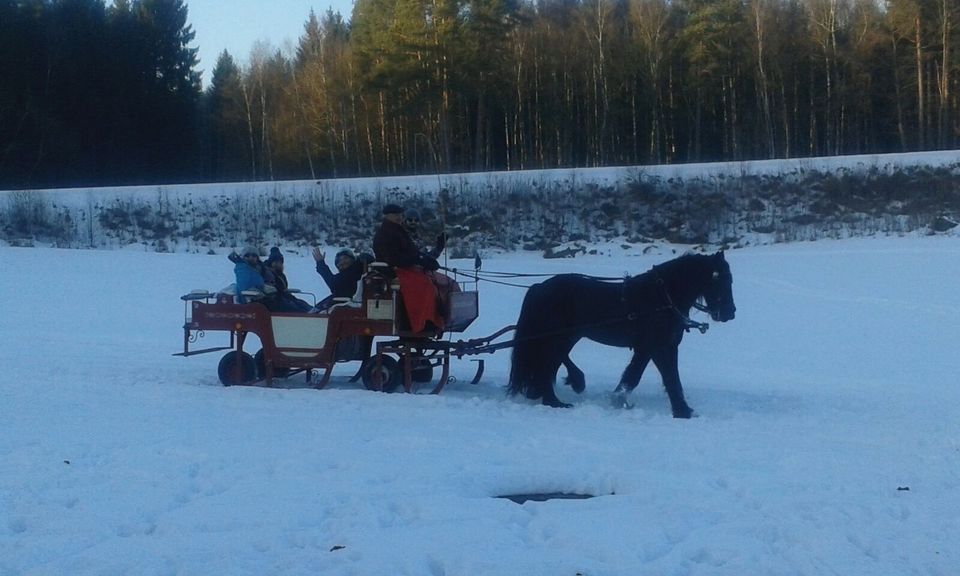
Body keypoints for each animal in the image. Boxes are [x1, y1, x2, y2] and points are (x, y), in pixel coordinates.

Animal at [510, 250, 736, 416]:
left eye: (729, 279)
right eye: (718, 279)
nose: (730, 313)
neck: (661, 298)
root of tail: (539, 287)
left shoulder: (647, 348)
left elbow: (633, 375)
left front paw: (619, 398)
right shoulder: (660, 347)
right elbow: (670, 377)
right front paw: (683, 411)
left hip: (564, 338)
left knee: (550, 365)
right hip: (557, 339)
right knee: (546, 367)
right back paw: (555, 401)